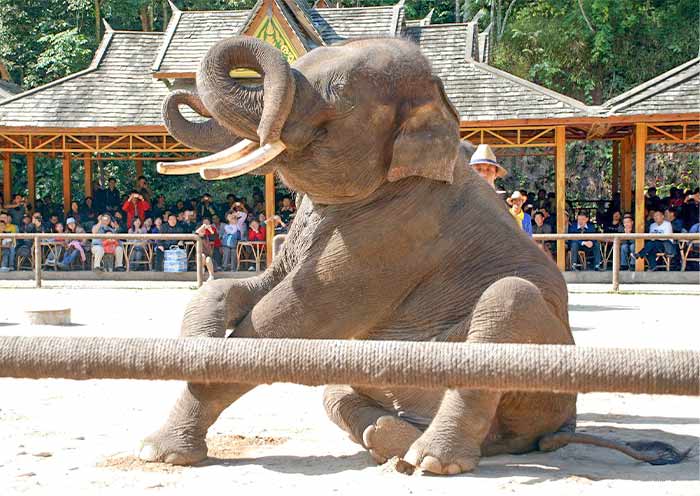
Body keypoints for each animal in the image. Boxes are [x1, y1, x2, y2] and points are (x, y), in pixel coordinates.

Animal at [139, 36, 686, 474]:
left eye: (339, 96)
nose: (177, 89)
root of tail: (563, 428)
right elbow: (247, 286)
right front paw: (197, 341)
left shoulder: (397, 233)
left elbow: (288, 319)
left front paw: (159, 452)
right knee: (336, 391)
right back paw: (395, 445)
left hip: (543, 378)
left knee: (507, 300)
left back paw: (430, 460)